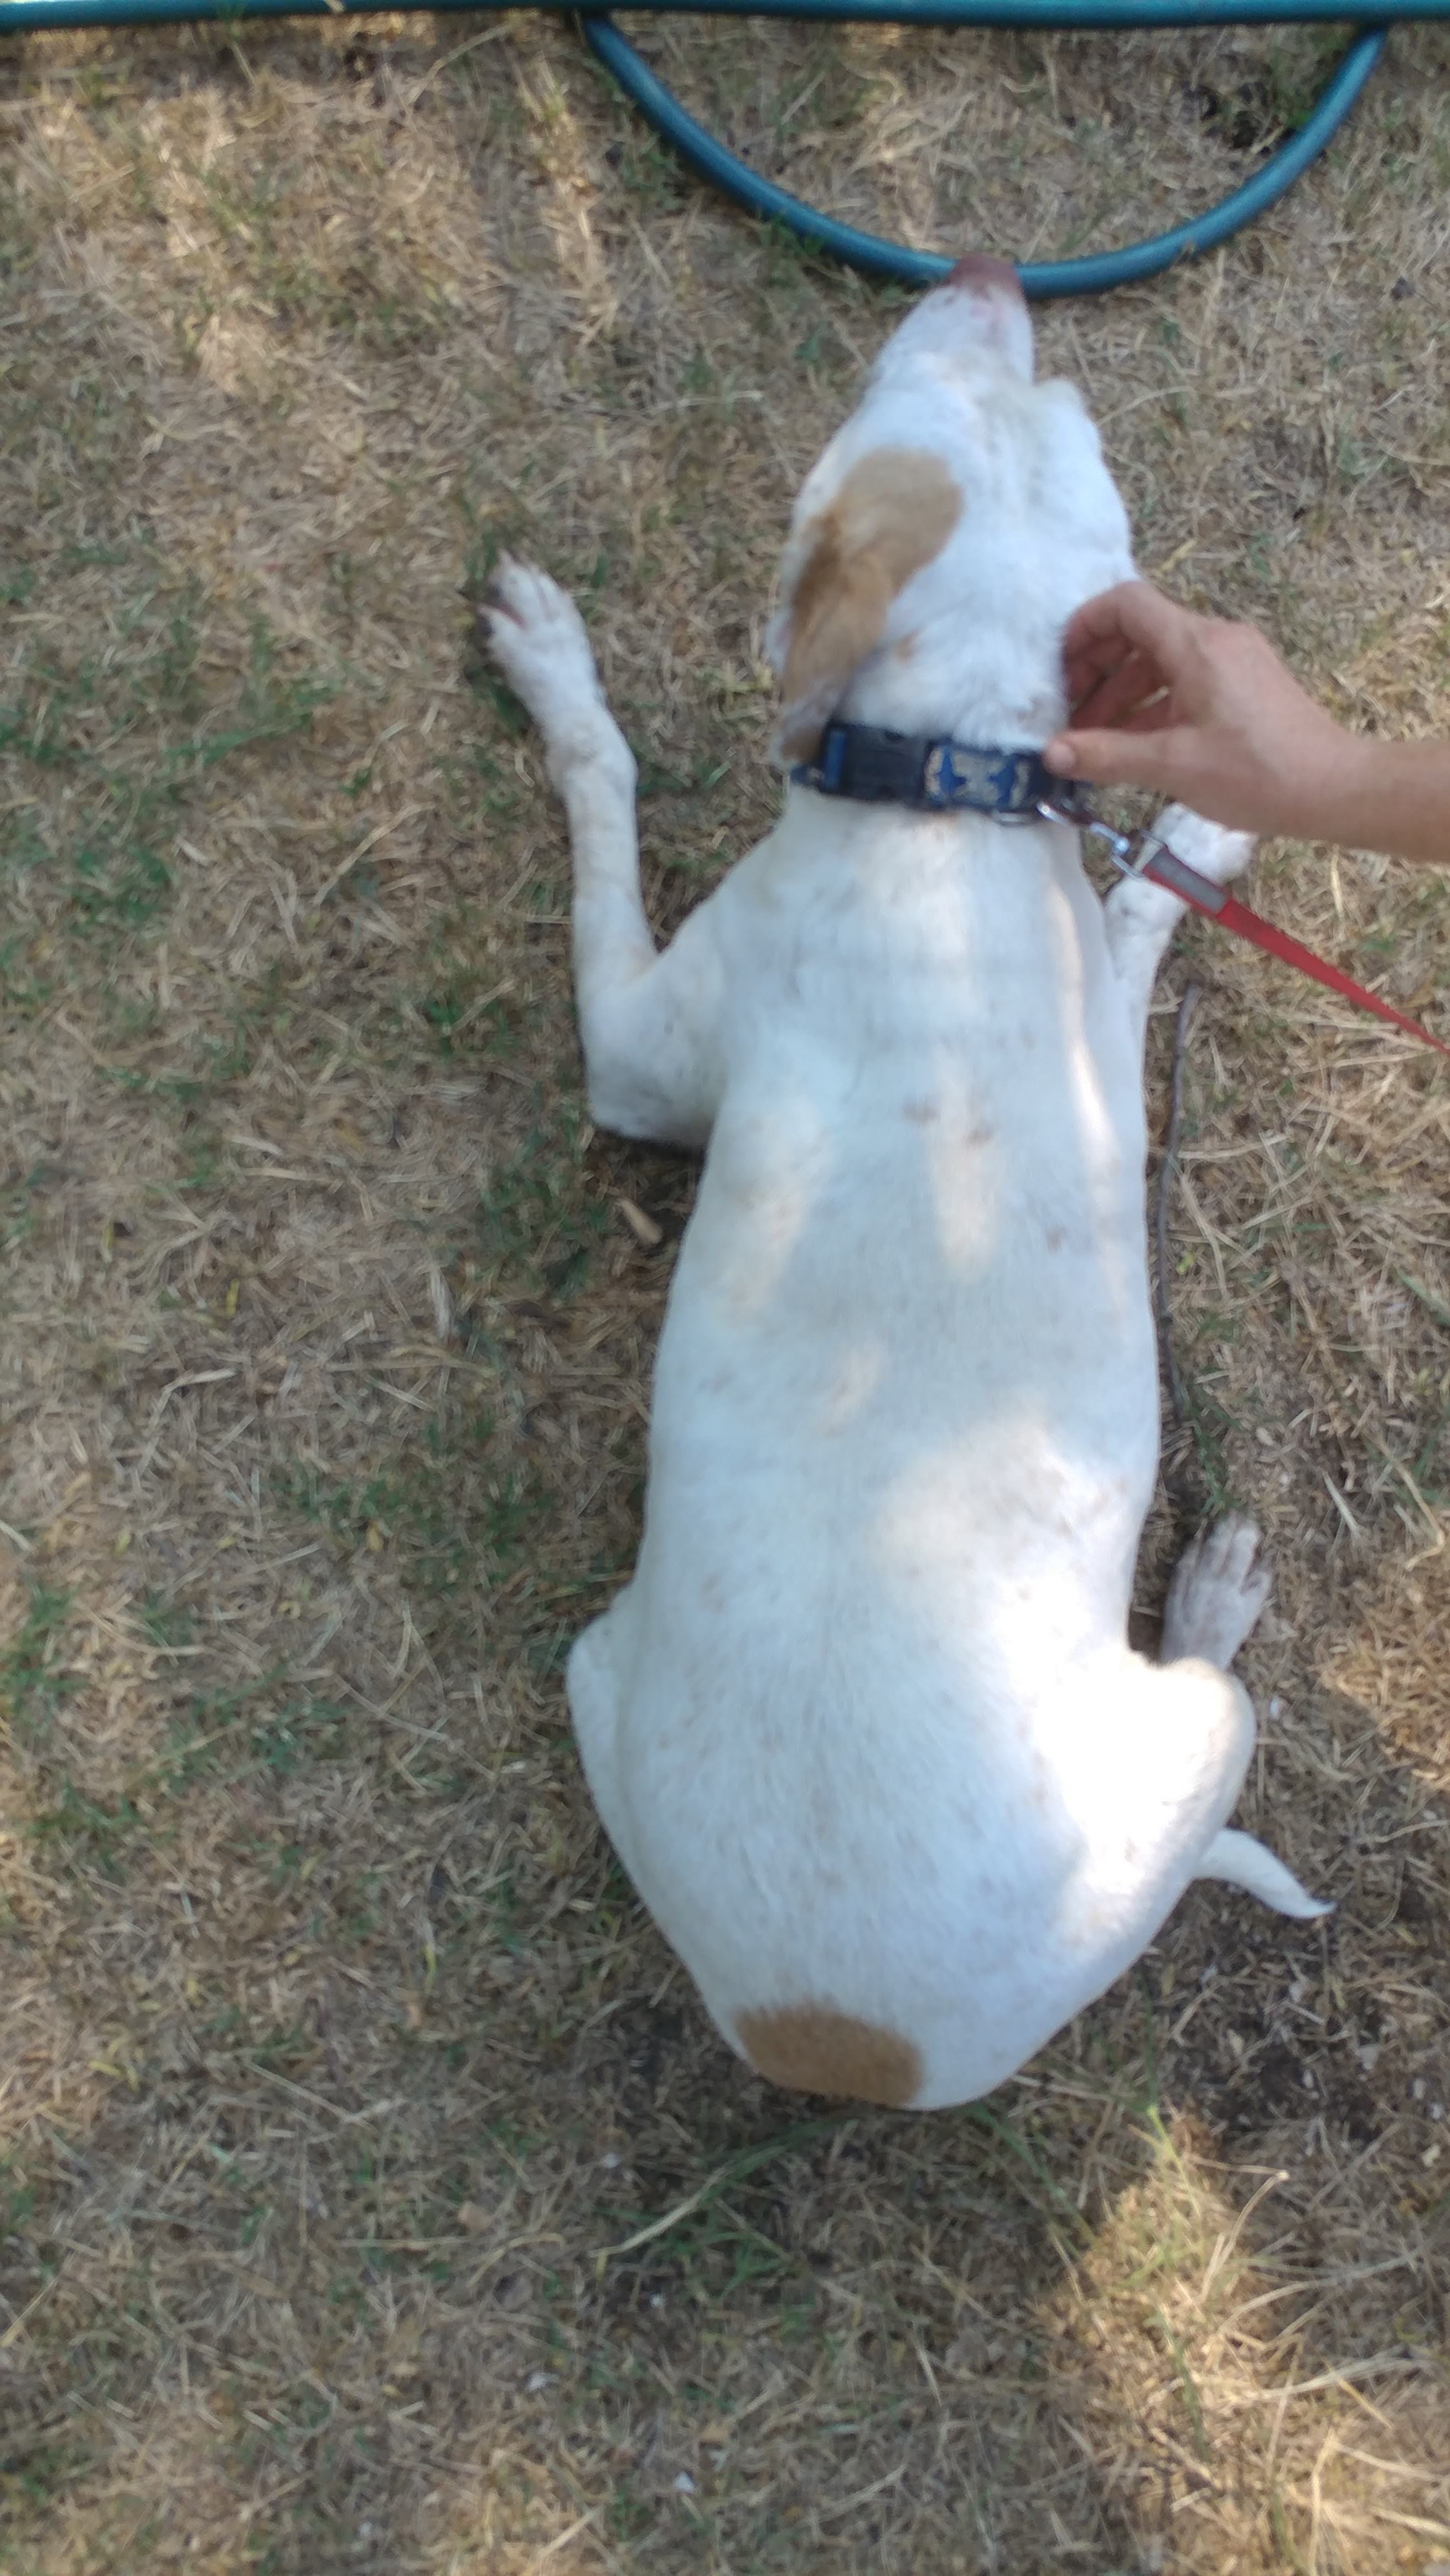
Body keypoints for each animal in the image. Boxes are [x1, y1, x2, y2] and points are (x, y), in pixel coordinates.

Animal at [484, 246, 1329, 2112]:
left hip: (1193, 1730)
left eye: (915, 399)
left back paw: (1210, 1592)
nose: (988, 265)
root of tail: (836, 2038)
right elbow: (1129, 897)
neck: (950, 799)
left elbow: (608, 781)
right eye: (1006, 402)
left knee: (1217, 1687)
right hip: (593, 1662)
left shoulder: (639, 1050)